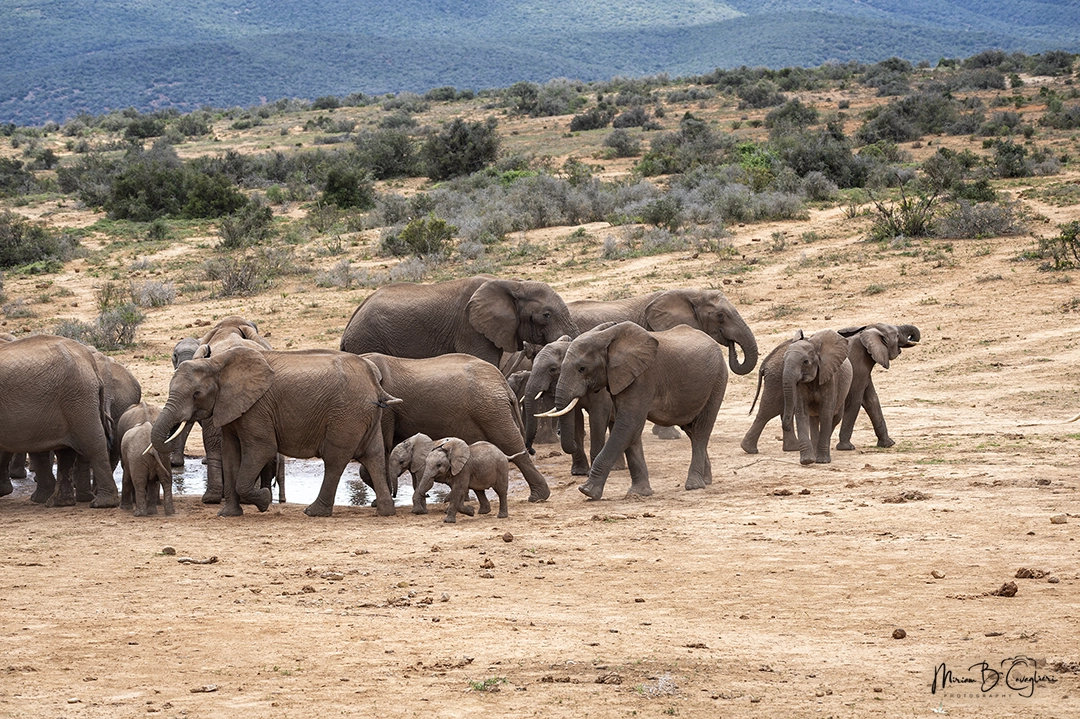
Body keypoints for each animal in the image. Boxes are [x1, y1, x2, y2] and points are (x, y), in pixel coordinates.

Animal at [0, 335, 119, 507]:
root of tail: (90, 361)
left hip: (78, 398)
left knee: (93, 444)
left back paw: (101, 503)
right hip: (69, 402)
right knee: (64, 452)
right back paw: (58, 502)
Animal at [360, 353, 552, 509]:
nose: (394, 494)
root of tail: (503, 382)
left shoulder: (386, 407)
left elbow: (383, 447)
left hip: (490, 408)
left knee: (510, 442)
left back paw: (538, 497)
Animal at [539, 322, 728, 500]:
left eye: (582, 369)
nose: (560, 435)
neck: (606, 337)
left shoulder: (642, 378)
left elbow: (628, 425)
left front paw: (587, 491)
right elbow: (631, 430)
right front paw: (639, 493)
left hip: (718, 380)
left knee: (701, 430)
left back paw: (694, 485)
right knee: (691, 430)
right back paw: (706, 480)